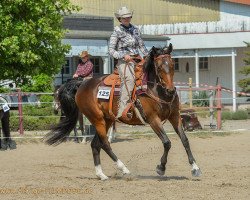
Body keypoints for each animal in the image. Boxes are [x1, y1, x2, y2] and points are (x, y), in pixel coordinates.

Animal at [45, 44, 201, 180]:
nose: (171, 90)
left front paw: (195, 168)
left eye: (173, 64)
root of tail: (82, 84)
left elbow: (185, 140)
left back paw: (101, 175)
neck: (155, 90)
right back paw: (123, 168)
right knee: (104, 144)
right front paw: (161, 168)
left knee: (95, 145)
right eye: (159, 66)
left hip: (107, 120)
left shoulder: (174, 117)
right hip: (97, 119)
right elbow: (167, 142)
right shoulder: (153, 120)